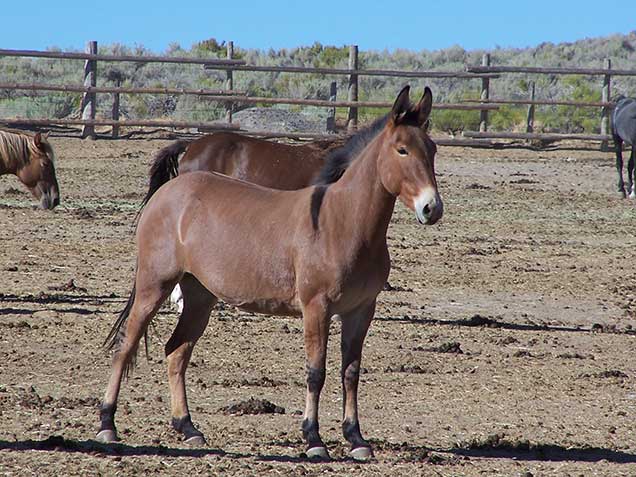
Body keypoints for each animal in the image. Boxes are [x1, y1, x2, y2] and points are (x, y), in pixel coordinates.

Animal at [97, 85, 442, 462]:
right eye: (402, 149)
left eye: (432, 149)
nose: (431, 208)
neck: (342, 222)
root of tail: (169, 193)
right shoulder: (316, 308)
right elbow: (316, 371)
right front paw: (313, 439)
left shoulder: (361, 310)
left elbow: (350, 372)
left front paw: (356, 439)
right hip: (154, 286)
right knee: (125, 347)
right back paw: (107, 424)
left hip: (199, 296)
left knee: (177, 351)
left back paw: (188, 428)